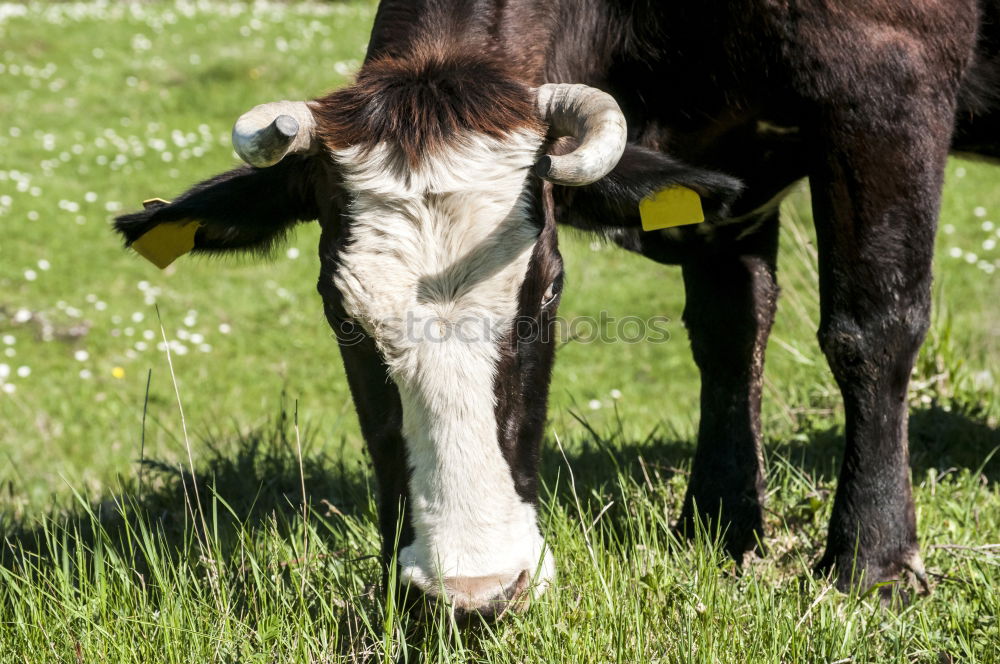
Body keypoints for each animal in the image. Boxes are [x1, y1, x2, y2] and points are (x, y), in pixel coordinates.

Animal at [113, 0, 996, 620]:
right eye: (340, 310)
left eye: (545, 289)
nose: (473, 591)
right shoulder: (723, 159)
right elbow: (729, 329)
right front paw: (717, 525)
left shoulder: (888, 74)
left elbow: (870, 328)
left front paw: (873, 564)